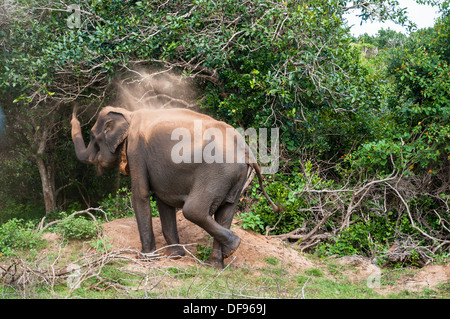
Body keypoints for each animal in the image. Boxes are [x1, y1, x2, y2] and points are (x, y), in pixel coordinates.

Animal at [71, 106, 280, 268]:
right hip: (234, 178)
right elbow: (163, 200)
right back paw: (216, 263)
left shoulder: (136, 151)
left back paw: (233, 245)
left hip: (217, 174)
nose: (73, 112)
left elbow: (140, 194)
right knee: (226, 212)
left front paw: (145, 258)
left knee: (193, 210)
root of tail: (248, 152)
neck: (129, 114)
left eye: (92, 137)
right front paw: (176, 256)